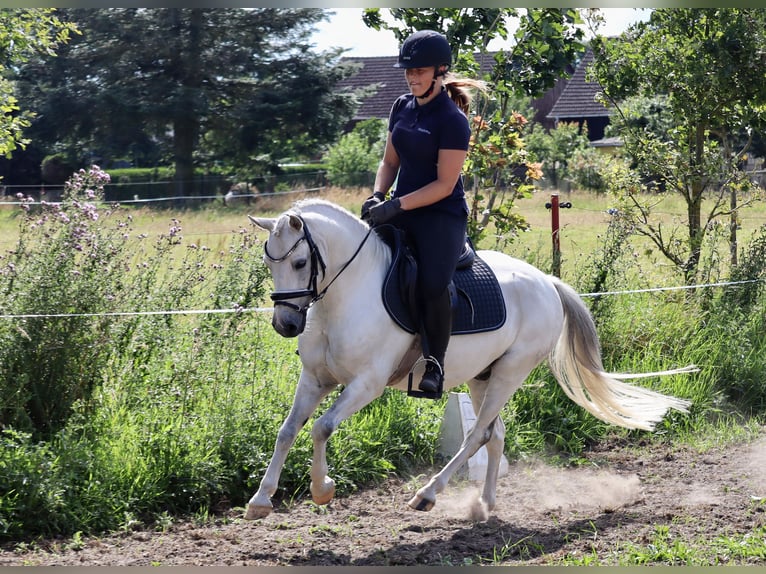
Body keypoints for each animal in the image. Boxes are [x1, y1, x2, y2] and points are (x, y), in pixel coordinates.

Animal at [246, 200, 696, 524]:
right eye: (268, 263)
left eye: (300, 263)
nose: (286, 324)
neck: (349, 293)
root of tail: (547, 282)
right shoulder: (315, 379)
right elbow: (287, 431)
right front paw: (260, 500)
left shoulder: (366, 384)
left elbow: (321, 428)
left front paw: (322, 489)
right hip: (483, 376)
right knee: (495, 435)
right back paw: (484, 504)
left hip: (511, 373)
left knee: (477, 435)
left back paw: (427, 495)